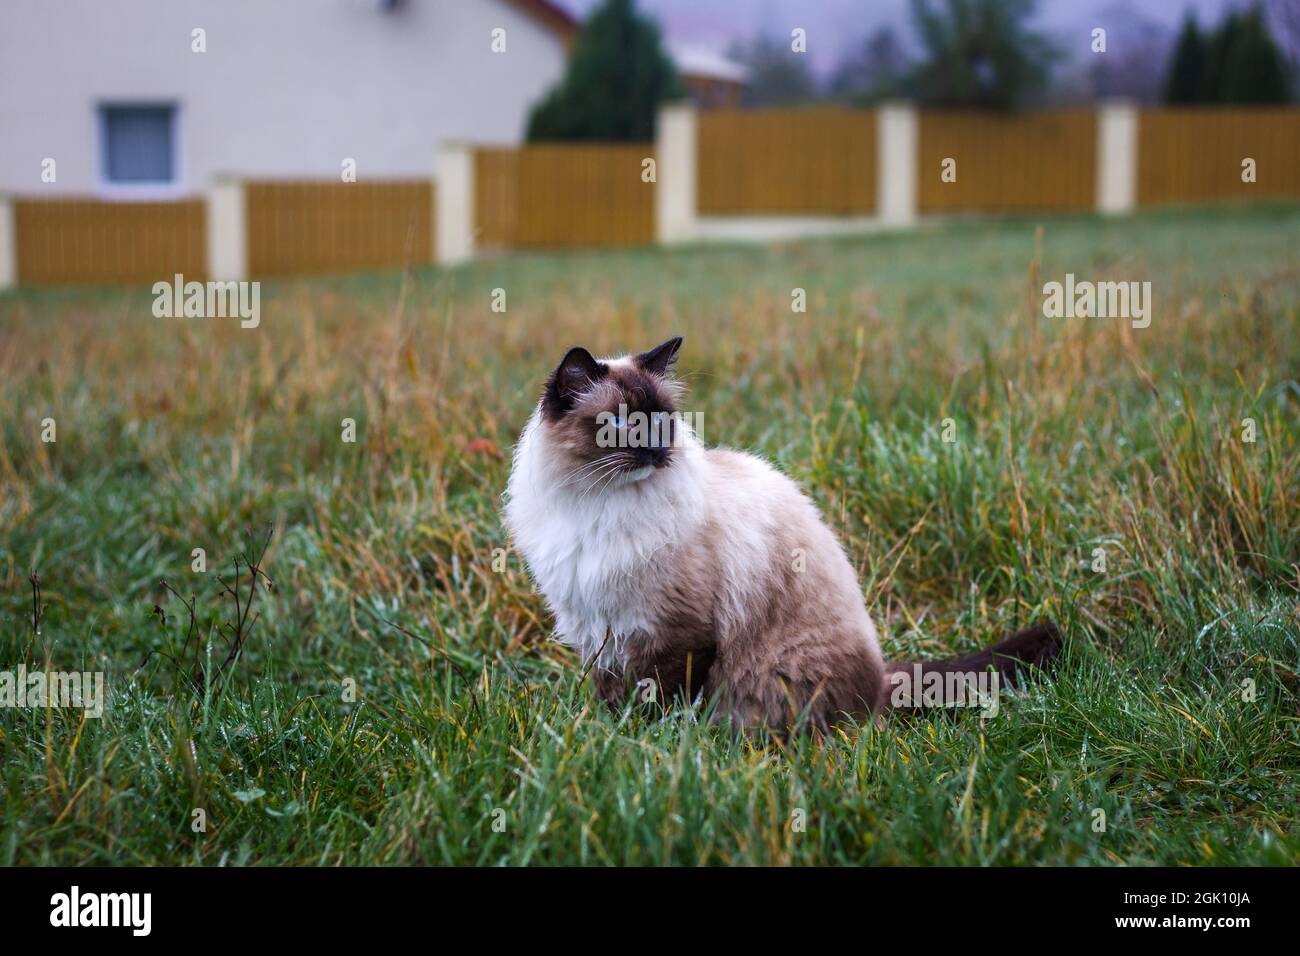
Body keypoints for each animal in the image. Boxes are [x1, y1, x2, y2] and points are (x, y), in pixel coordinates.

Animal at [501, 335, 1060, 733]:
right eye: (620, 425)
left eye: (663, 422)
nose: (658, 451)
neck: (600, 507)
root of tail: (880, 679)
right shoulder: (596, 629)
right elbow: (609, 696)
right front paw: (608, 736)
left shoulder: (675, 635)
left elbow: (661, 703)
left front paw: (649, 746)